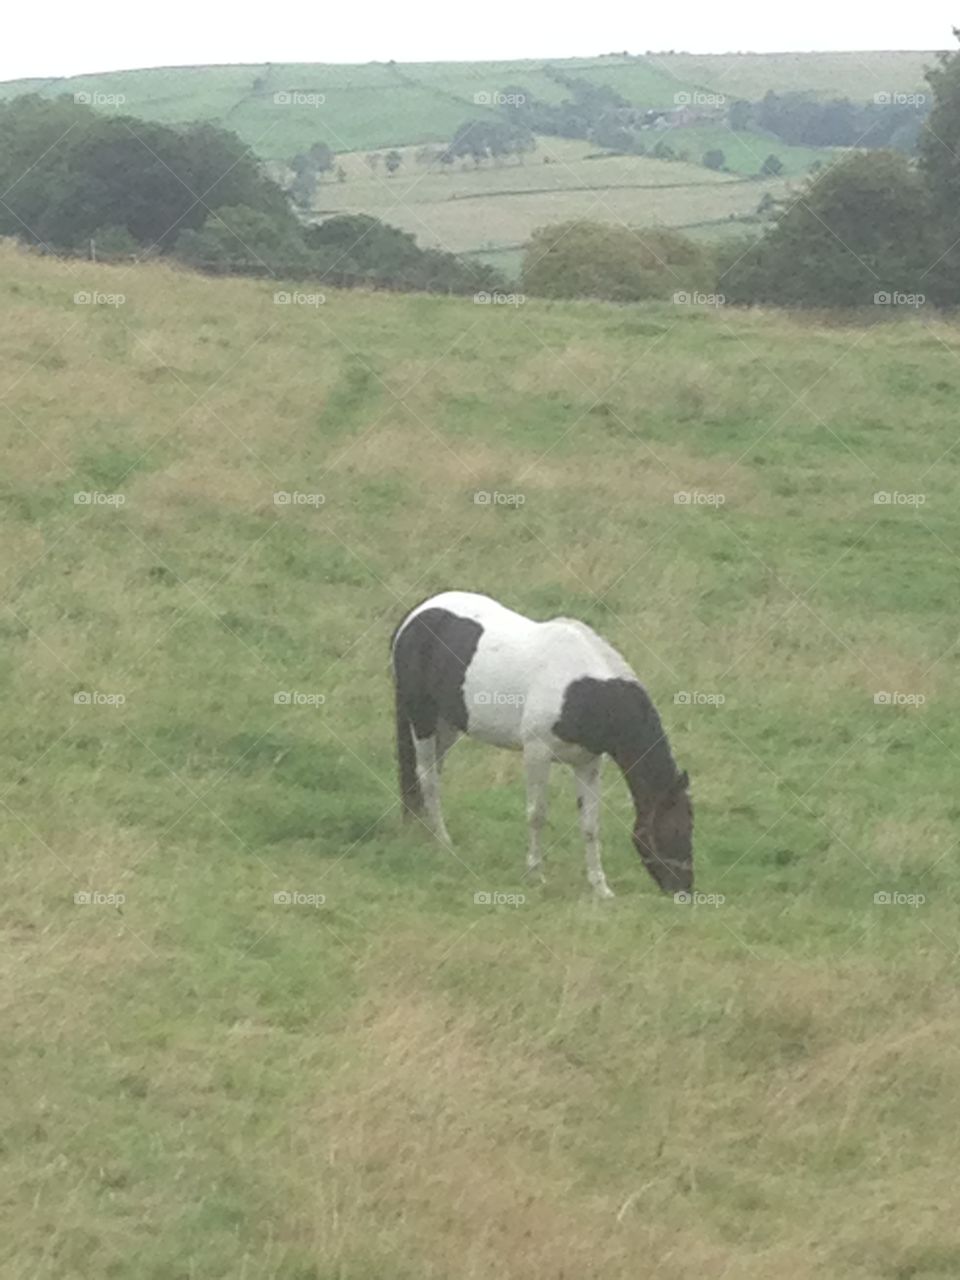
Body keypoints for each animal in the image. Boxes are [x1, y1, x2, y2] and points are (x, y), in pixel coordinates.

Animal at [390, 590, 693, 899]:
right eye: (673, 830)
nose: (684, 889)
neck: (582, 691)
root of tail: (413, 616)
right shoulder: (537, 752)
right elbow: (537, 814)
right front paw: (535, 874)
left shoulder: (588, 762)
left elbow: (590, 824)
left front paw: (600, 888)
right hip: (422, 717)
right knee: (427, 777)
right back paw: (443, 842)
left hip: (447, 725)